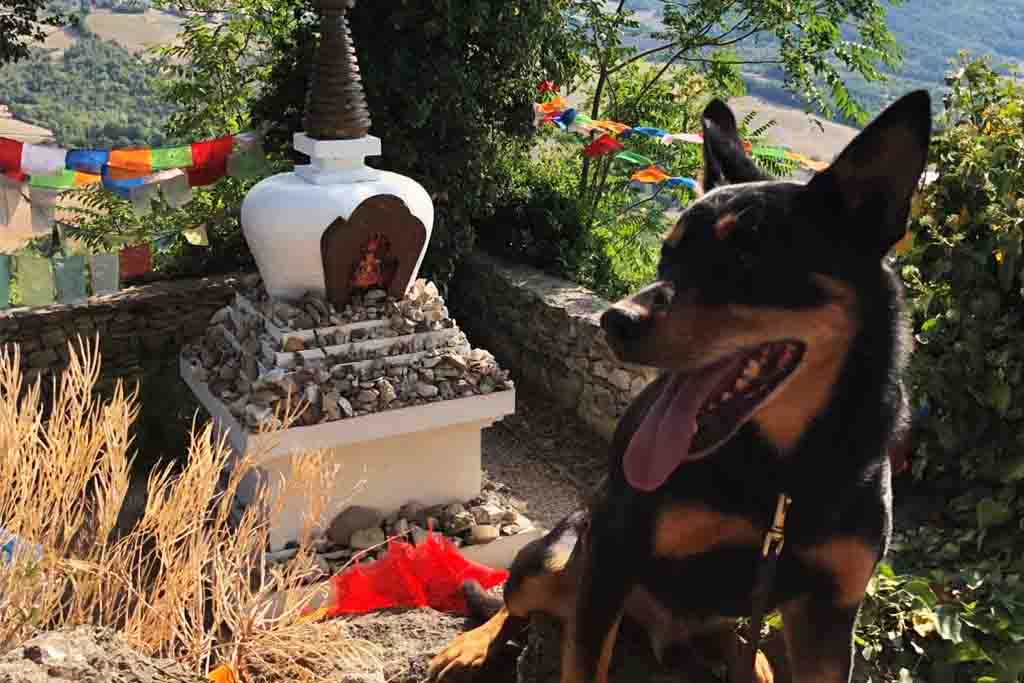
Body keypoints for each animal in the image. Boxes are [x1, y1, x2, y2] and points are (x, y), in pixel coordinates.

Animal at [428, 90, 930, 683]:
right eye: (667, 255)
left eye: (747, 259)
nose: (614, 322)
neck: (781, 473)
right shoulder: (612, 551)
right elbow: (581, 660)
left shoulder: (828, 614)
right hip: (560, 551)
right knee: (514, 603)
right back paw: (475, 644)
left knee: (730, 639)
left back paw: (754, 661)